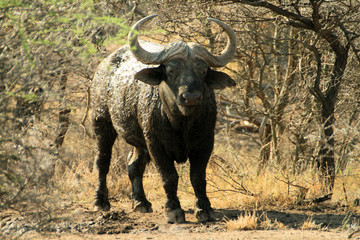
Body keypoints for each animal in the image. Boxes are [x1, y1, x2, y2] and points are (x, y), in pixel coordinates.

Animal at [90, 15, 236, 223]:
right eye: (172, 70)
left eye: (202, 70)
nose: (191, 97)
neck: (181, 123)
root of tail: (105, 66)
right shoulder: (155, 144)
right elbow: (169, 176)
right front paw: (174, 209)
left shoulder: (206, 142)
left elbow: (198, 177)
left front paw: (204, 208)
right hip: (101, 122)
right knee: (102, 161)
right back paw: (100, 202)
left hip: (139, 140)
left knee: (134, 165)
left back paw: (141, 202)